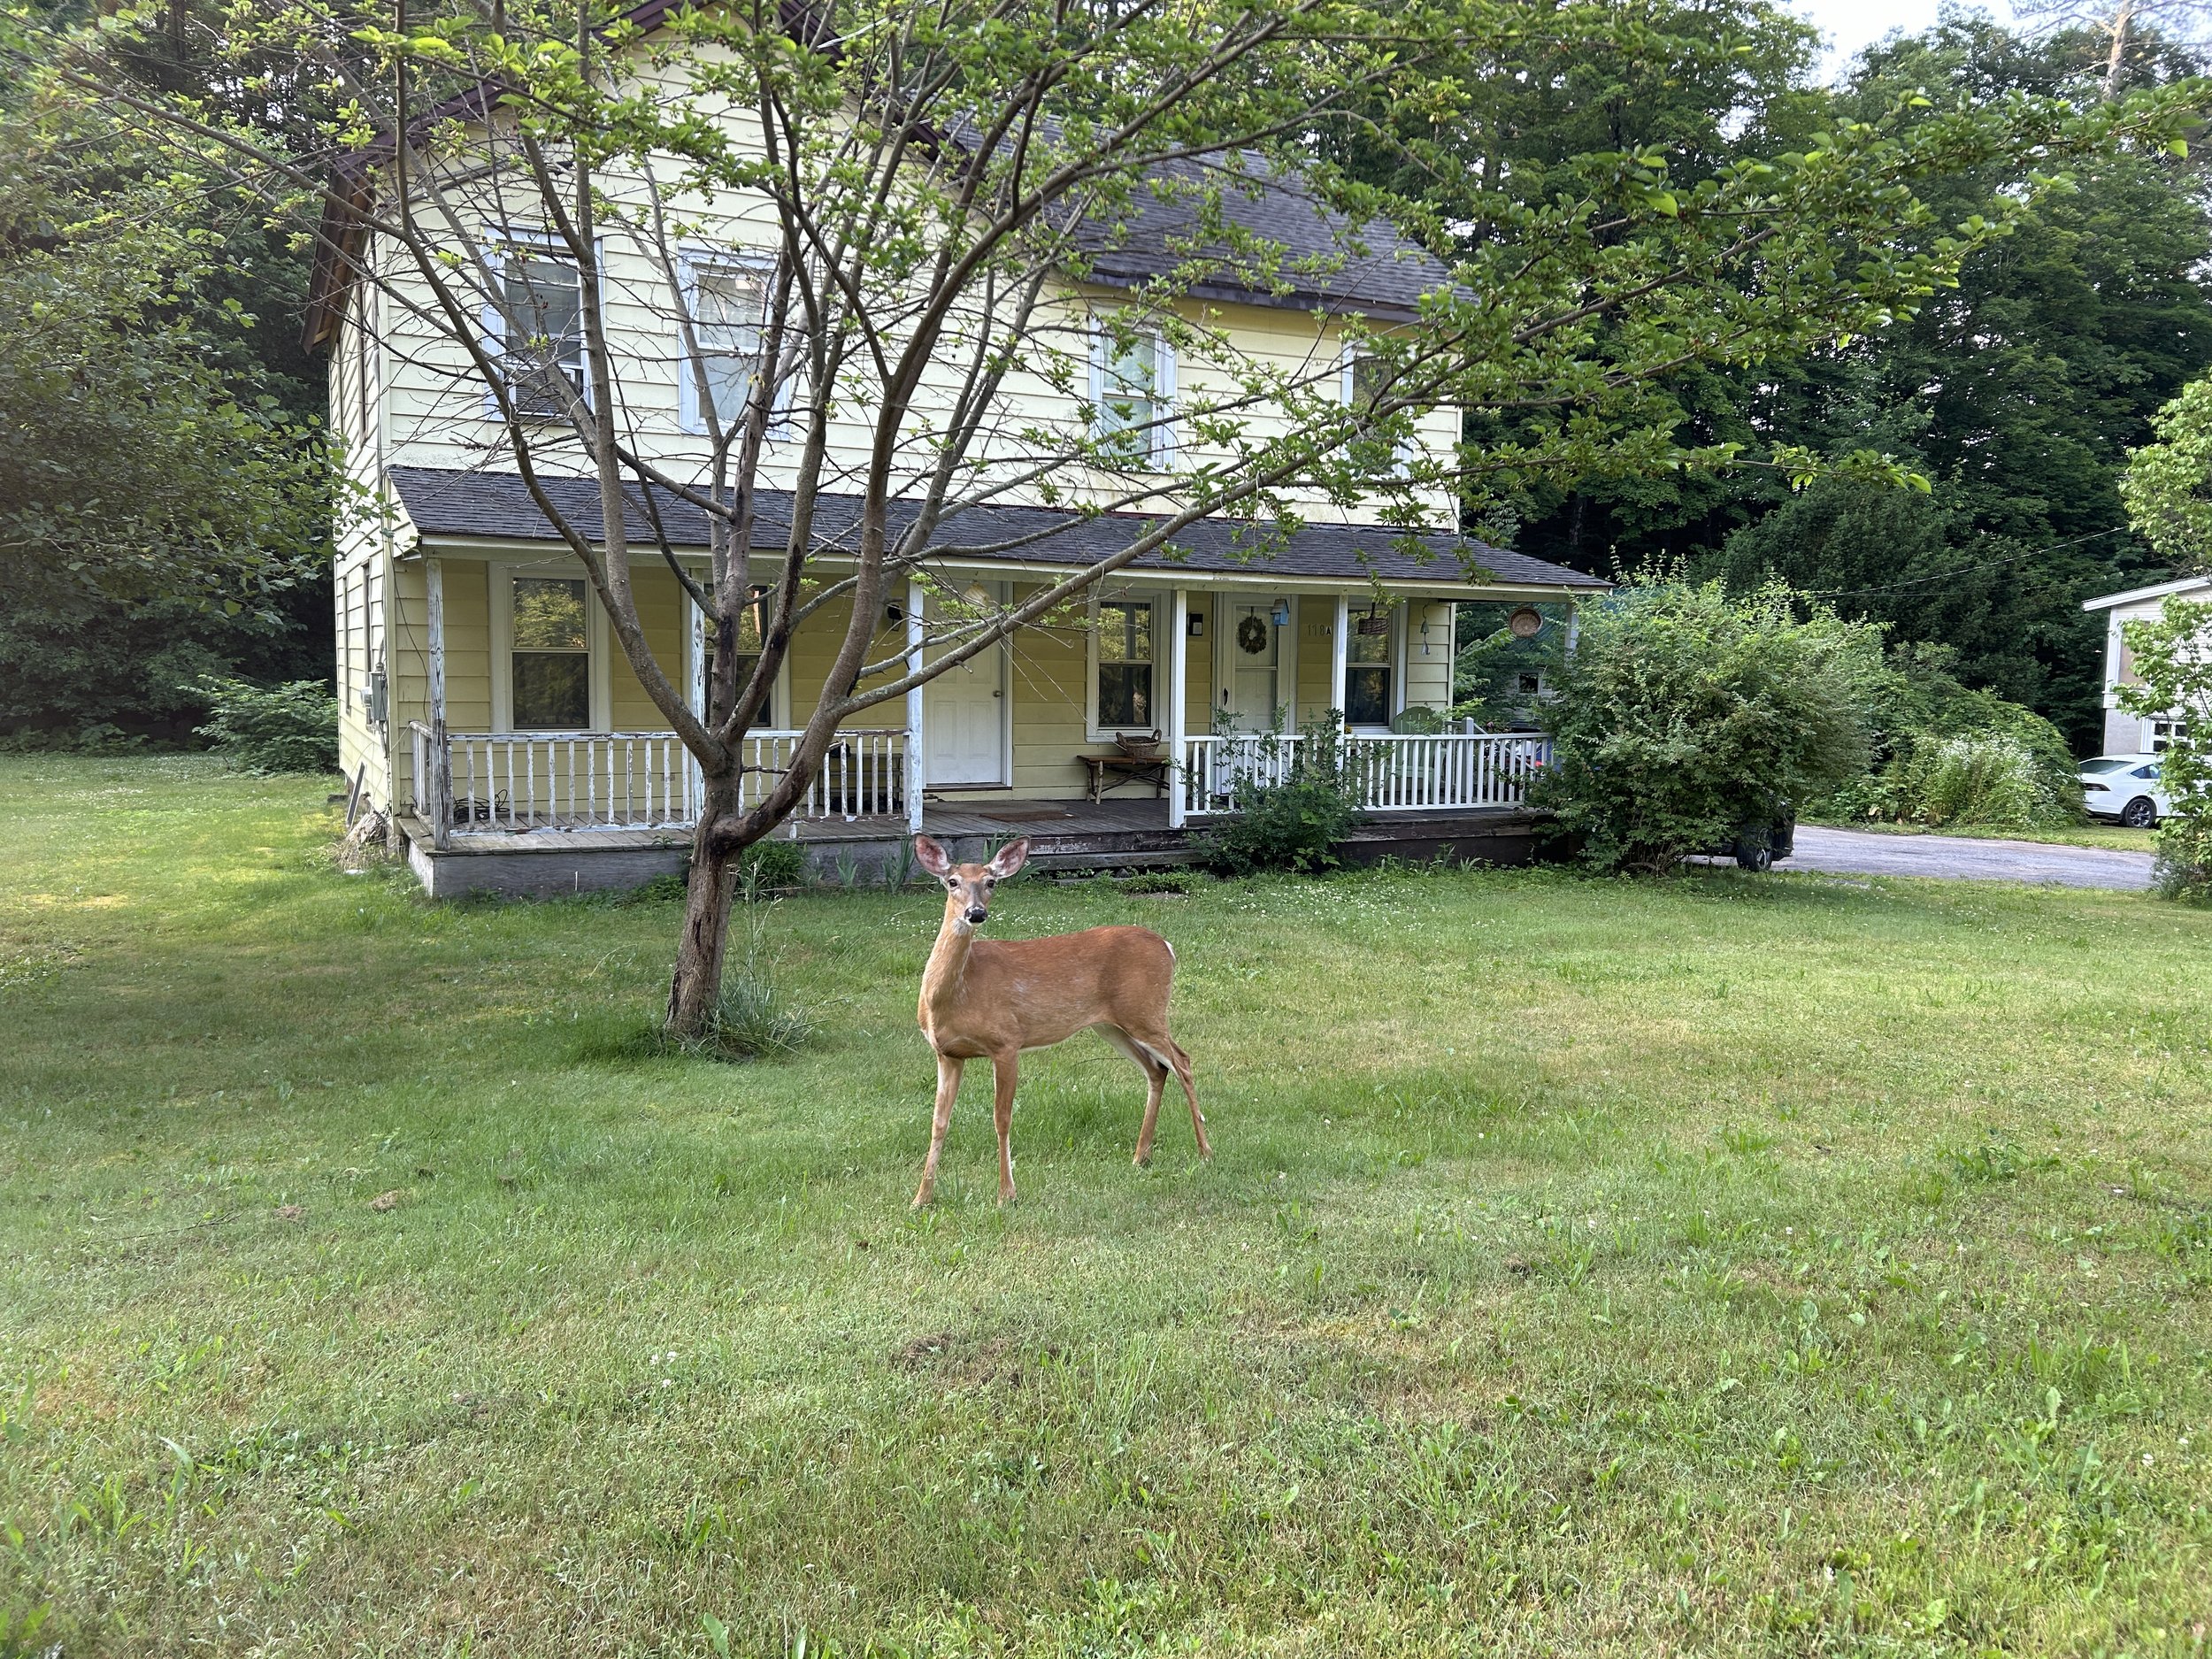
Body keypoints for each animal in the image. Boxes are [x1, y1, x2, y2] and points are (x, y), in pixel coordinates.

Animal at [909, 834, 1209, 1206]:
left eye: (990, 882)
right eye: (952, 882)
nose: (976, 913)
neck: (956, 995)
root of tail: (1167, 946)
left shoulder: (1006, 1041)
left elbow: (1002, 1118)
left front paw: (1006, 1194)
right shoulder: (947, 1053)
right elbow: (938, 1122)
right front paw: (921, 1198)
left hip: (1145, 1011)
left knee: (1183, 1062)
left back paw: (1205, 1152)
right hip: (1111, 1024)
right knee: (1158, 1069)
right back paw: (1141, 1156)